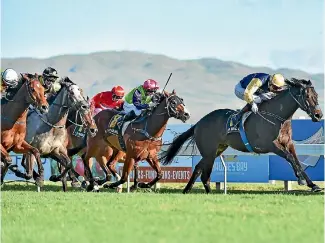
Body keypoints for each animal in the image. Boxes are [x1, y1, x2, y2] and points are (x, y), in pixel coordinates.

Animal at [161, 78, 322, 194]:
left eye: (317, 95)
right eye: (307, 96)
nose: (318, 115)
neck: (278, 117)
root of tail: (199, 123)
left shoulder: (288, 143)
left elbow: (296, 160)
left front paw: (312, 184)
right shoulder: (269, 145)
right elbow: (290, 158)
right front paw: (301, 179)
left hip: (216, 150)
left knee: (199, 168)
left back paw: (191, 190)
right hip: (210, 151)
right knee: (203, 172)